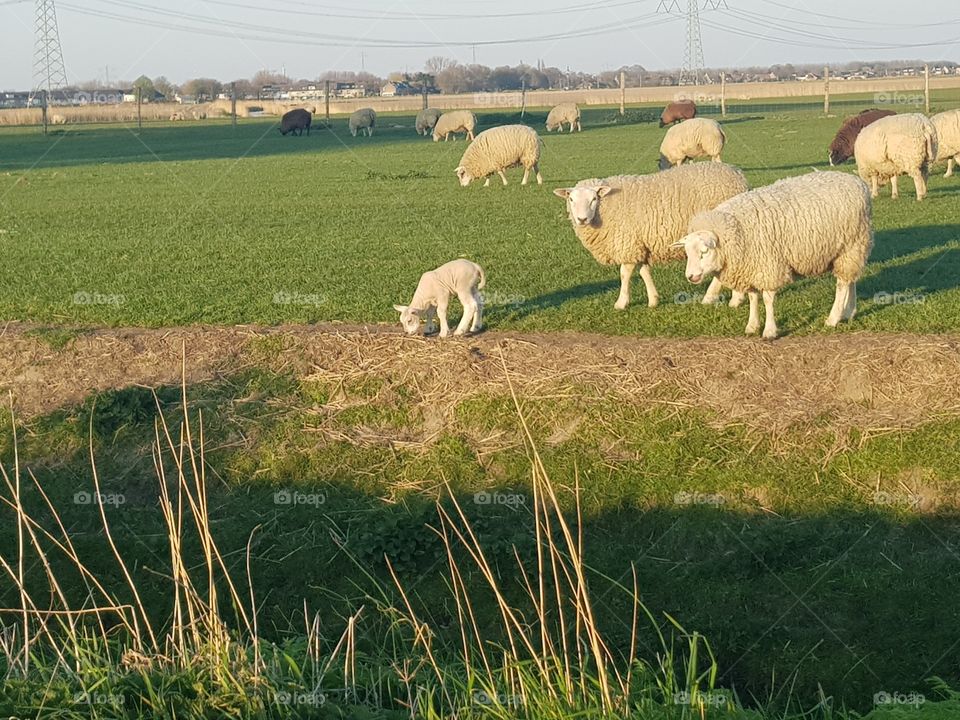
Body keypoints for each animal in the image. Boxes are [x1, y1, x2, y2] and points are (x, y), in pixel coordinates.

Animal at [553, 162, 749, 311]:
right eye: (571, 199)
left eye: (594, 199)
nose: (582, 219)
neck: (606, 209)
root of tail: (738, 175)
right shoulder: (640, 244)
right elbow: (644, 272)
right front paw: (653, 300)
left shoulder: (628, 244)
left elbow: (624, 274)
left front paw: (621, 303)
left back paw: (718, 298)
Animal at [673, 171, 873, 340]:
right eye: (687, 252)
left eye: (704, 251)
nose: (690, 276)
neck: (737, 230)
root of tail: (858, 182)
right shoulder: (750, 268)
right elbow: (753, 298)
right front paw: (752, 326)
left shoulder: (768, 265)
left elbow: (768, 300)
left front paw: (769, 331)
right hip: (852, 249)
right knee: (851, 280)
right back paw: (849, 312)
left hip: (851, 246)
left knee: (842, 284)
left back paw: (833, 318)